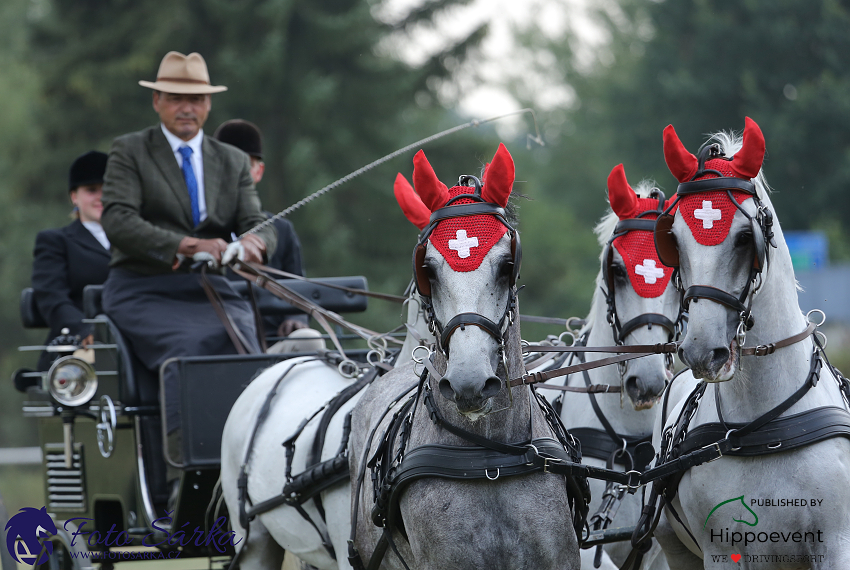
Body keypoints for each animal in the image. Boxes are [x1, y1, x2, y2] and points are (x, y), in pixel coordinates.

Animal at [644, 117, 848, 564]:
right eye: (673, 240)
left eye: (743, 237)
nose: (702, 351)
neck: (766, 425)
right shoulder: (723, 551)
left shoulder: (836, 546)